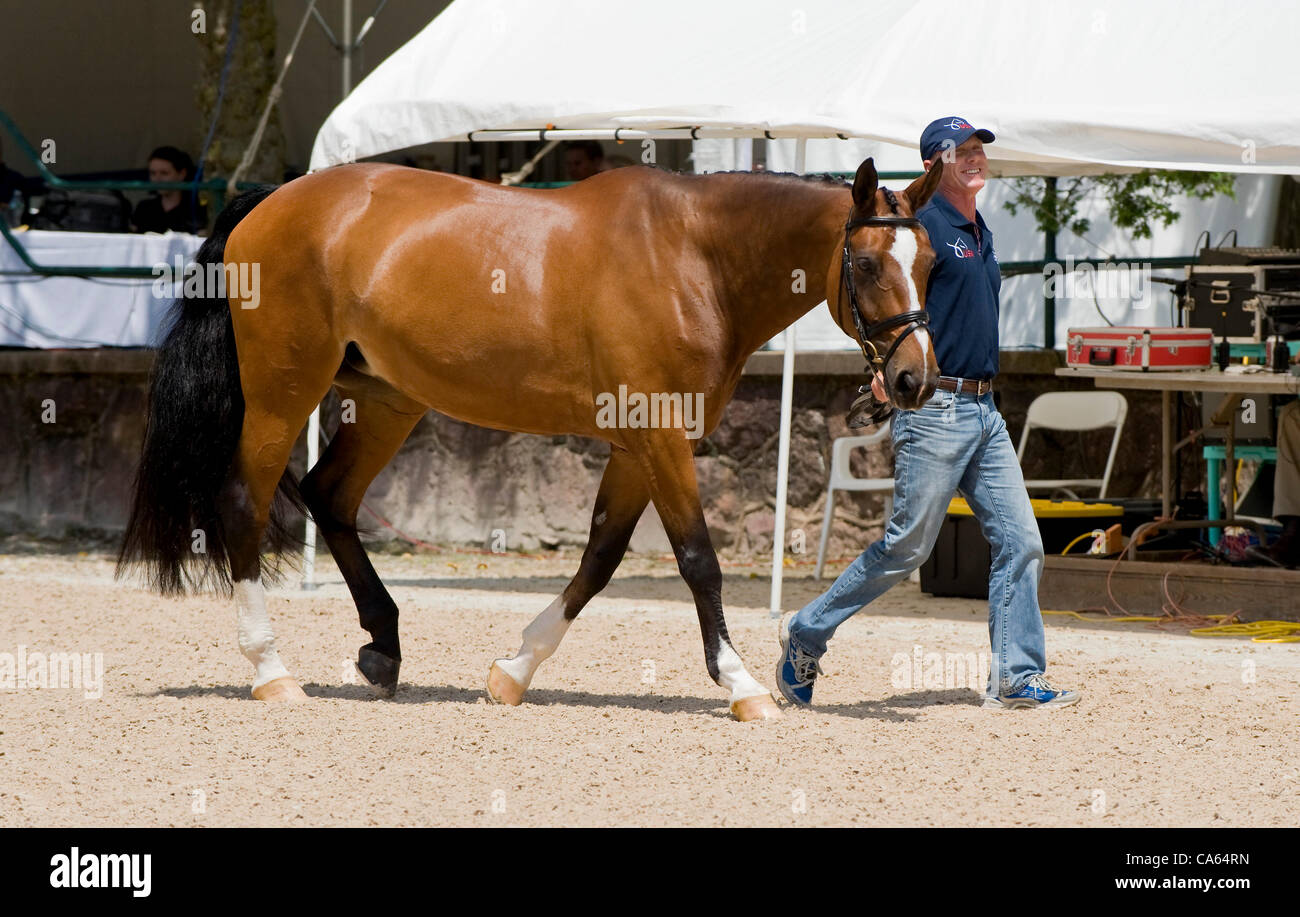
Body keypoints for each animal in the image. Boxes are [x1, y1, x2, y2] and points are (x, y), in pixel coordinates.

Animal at [116, 153, 941, 717]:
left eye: (932, 261)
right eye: (868, 262)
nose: (914, 378)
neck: (691, 257)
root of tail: (270, 201)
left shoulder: (636, 444)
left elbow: (600, 557)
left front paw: (513, 671)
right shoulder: (659, 436)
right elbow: (698, 560)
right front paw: (741, 685)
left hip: (387, 401)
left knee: (330, 497)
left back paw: (383, 649)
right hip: (284, 393)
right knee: (244, 505)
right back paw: (272, 670)